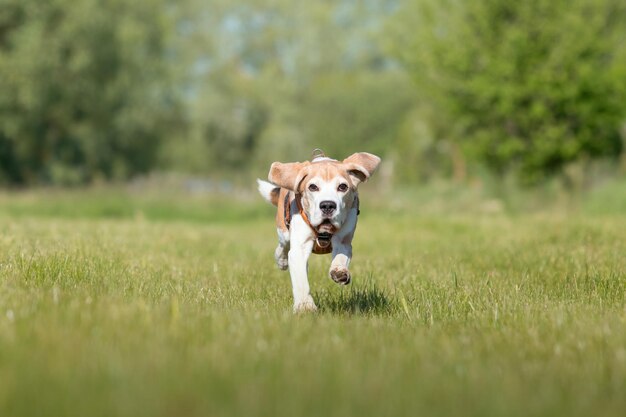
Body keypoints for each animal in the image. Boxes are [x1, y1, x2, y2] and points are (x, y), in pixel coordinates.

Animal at [255, 151, 380, 310]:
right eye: (313, 187)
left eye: (343, 187)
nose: (327, 205)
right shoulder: (299, 248)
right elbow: (301, 280)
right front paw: (305, 306)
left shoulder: (344, 241)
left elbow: (341, 256)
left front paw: (339, 272)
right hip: (284, 232)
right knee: (283, 247)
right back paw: (282, 260)